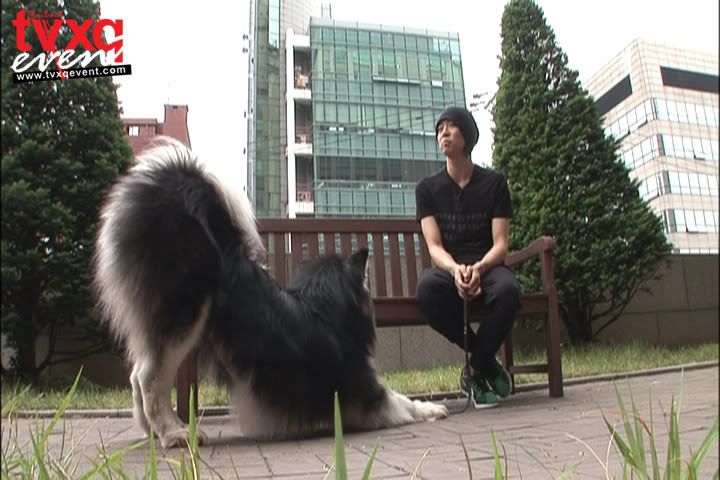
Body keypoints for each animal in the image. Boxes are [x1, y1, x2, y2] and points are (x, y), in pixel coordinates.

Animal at [93, 137, 448, 448]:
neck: (322, 308)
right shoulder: (364, 393)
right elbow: (401, 401)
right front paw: (430, 408)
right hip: (186, 314)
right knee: (148, 378)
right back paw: (174, 432)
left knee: (137, 375)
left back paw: (151, 431)